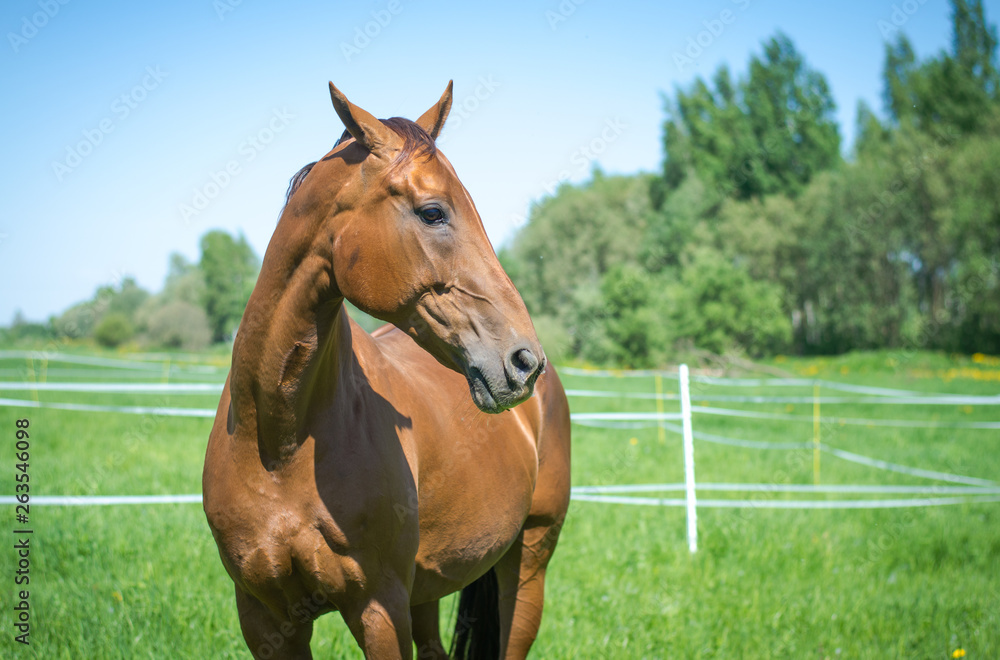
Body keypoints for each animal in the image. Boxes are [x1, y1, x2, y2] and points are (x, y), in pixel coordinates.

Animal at [201, 80, 572, 656]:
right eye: (433, 212)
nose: (524, 361)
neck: (278, 444)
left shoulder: (378, 608)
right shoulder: (265, 617)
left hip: (529, 559)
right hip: (430, 587)